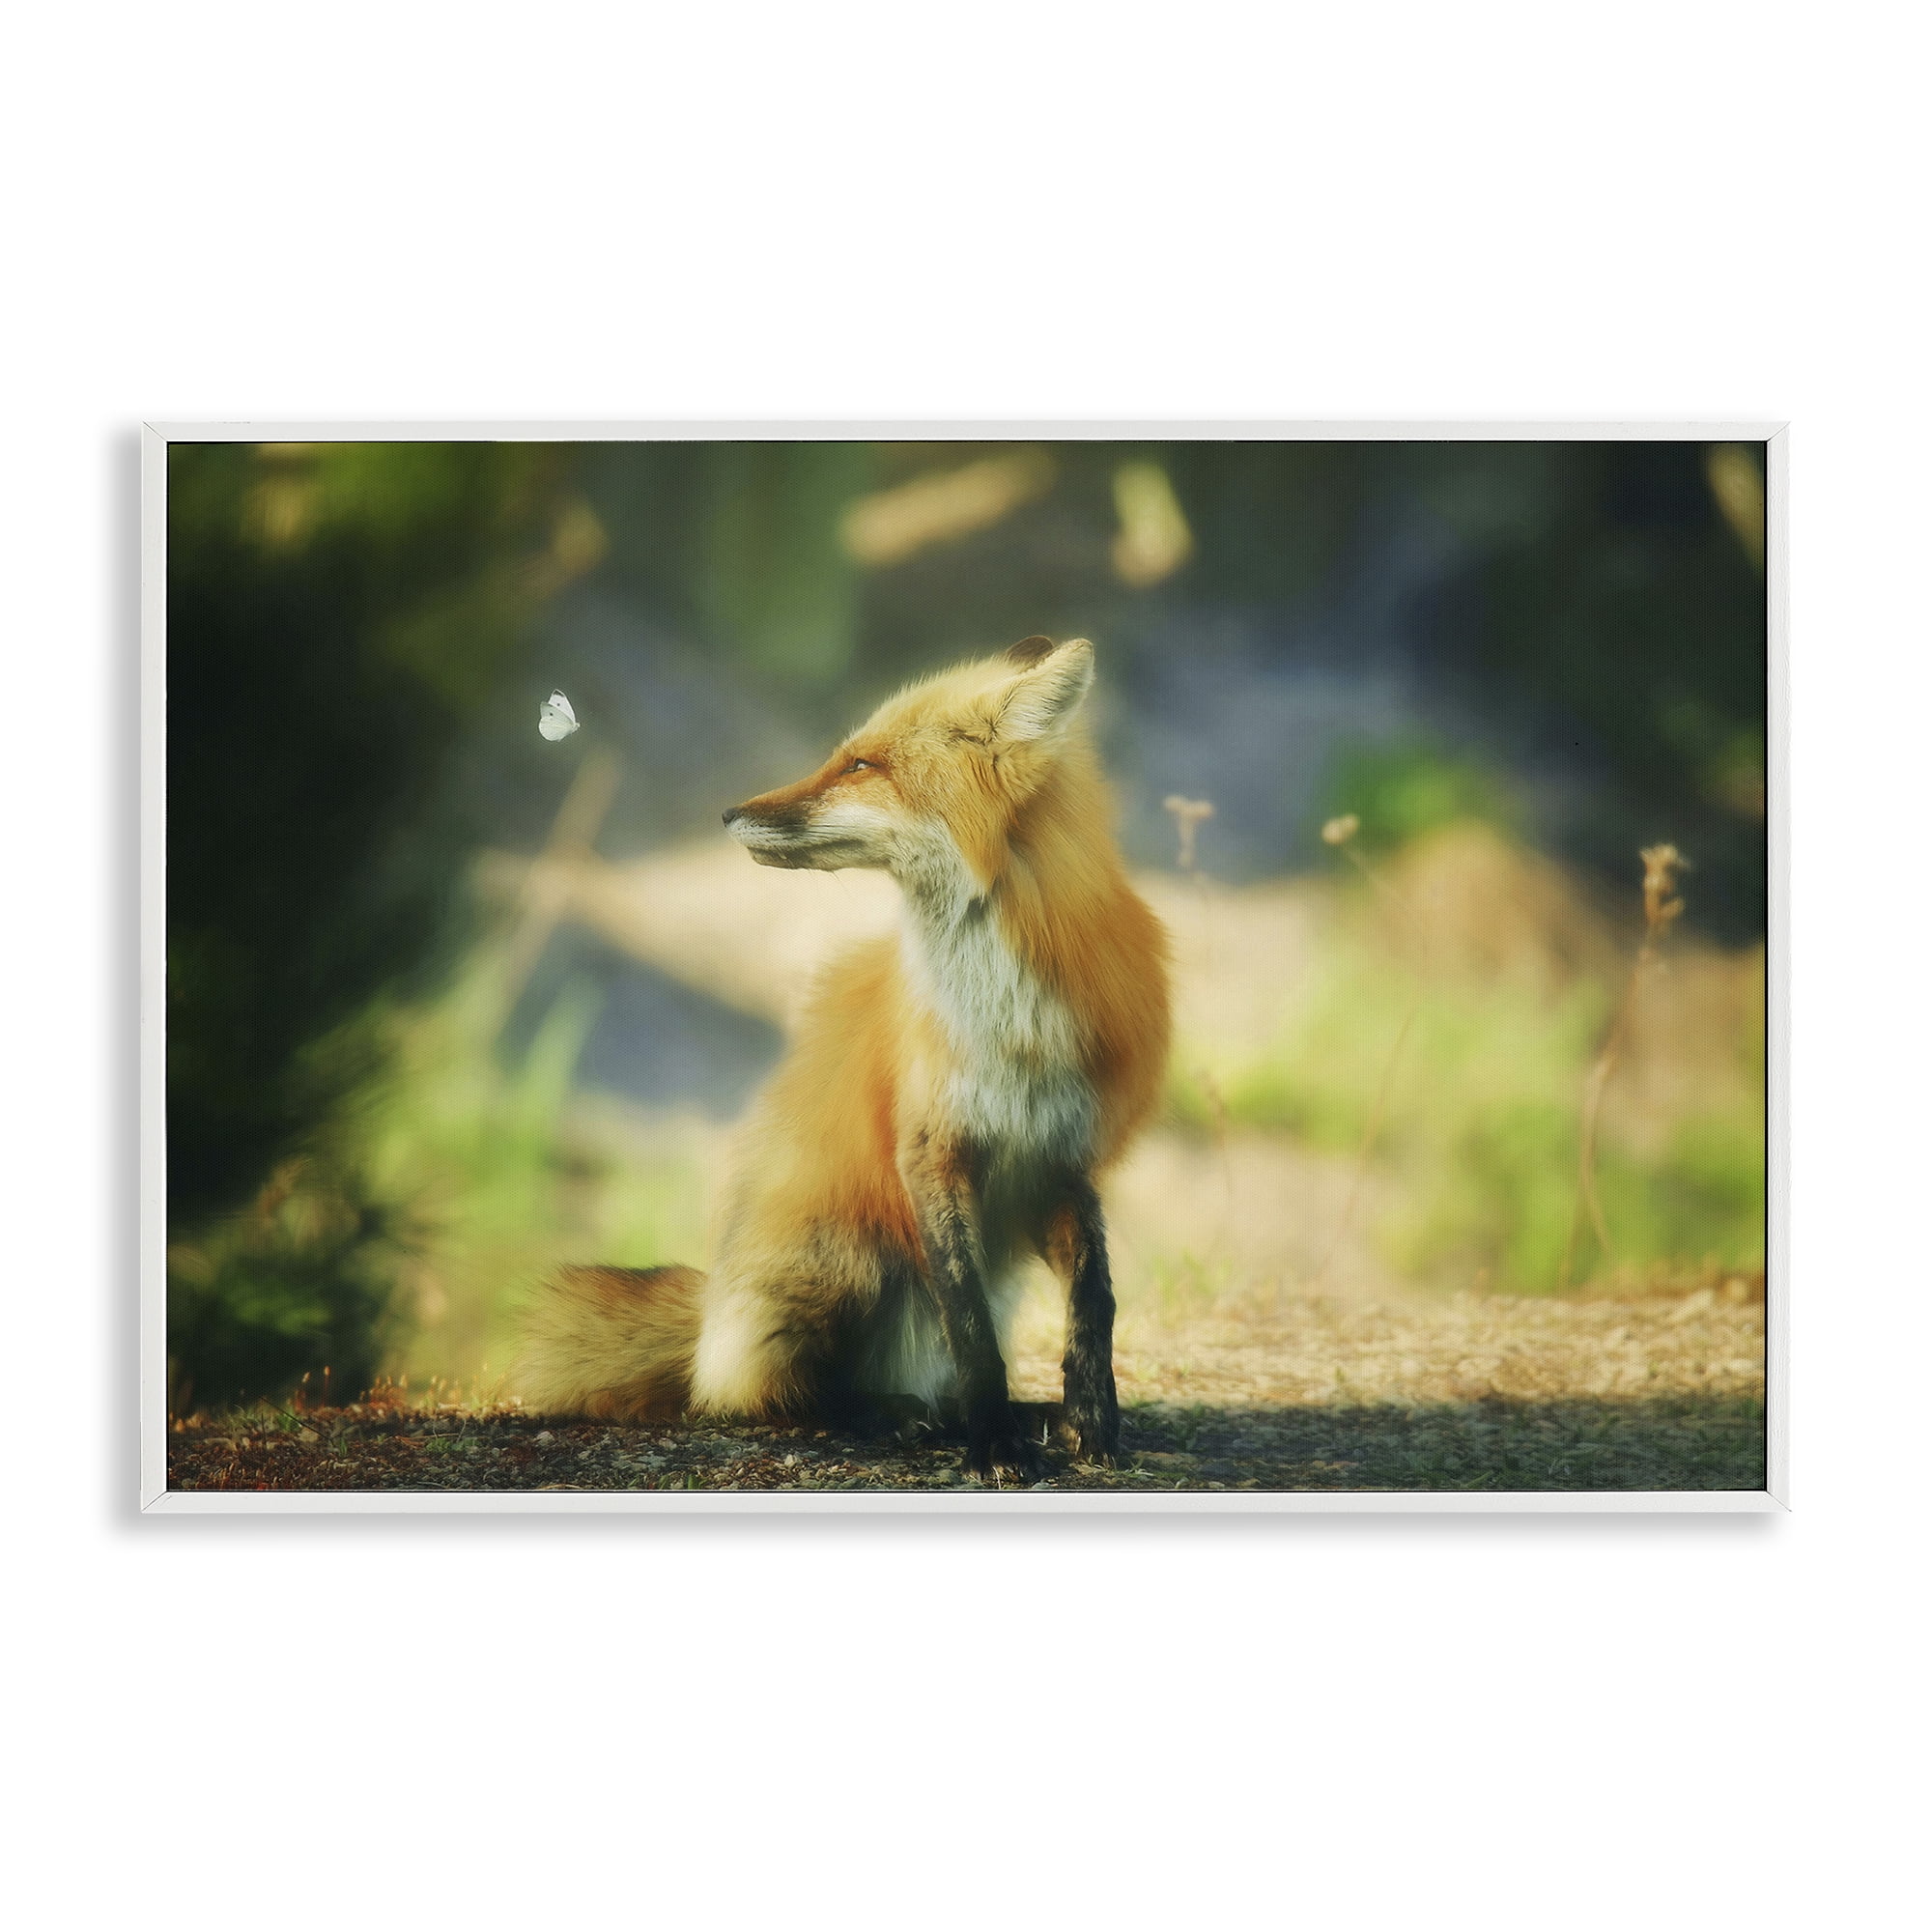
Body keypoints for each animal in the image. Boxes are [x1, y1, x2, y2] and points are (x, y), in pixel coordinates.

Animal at [516, 635, 1171, 1477]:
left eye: (862, 765)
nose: (727, 813)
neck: (1005, 1020)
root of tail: (711, 1321)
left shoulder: (1061, 1155)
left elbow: (1095, 1298)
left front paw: (1090, 1417)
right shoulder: (928, 1149)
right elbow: (971, 1329)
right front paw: (994, 1442)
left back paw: (999, 1414)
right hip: (849, 1254)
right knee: (779, 1395)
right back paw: (893, 1414)